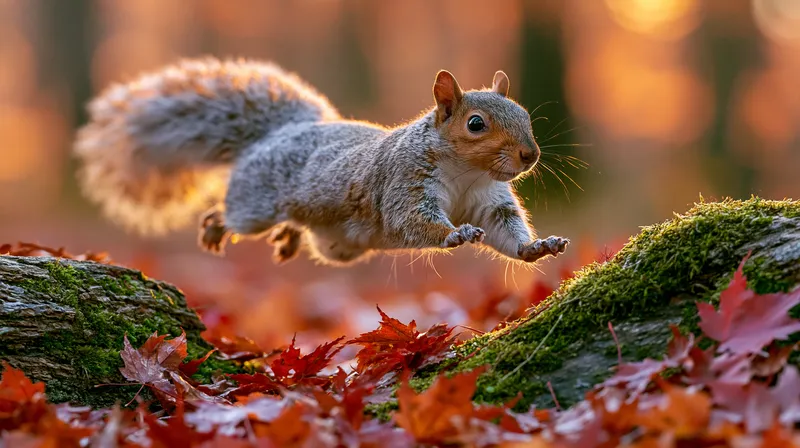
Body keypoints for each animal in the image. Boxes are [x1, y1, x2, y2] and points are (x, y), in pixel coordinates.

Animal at [73, 58, 569, 267]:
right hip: (255, 203)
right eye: (476, 124)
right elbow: (411, 219)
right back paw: (215, 227)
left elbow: (506, 230)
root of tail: (284, 131)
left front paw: (536, 248)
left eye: (525, 114)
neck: (468, 174)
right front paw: (455, 234)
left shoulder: (491, 201)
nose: (530, 154)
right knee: (230, 214)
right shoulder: (404, 182)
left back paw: (289, 238)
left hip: (338, 246)